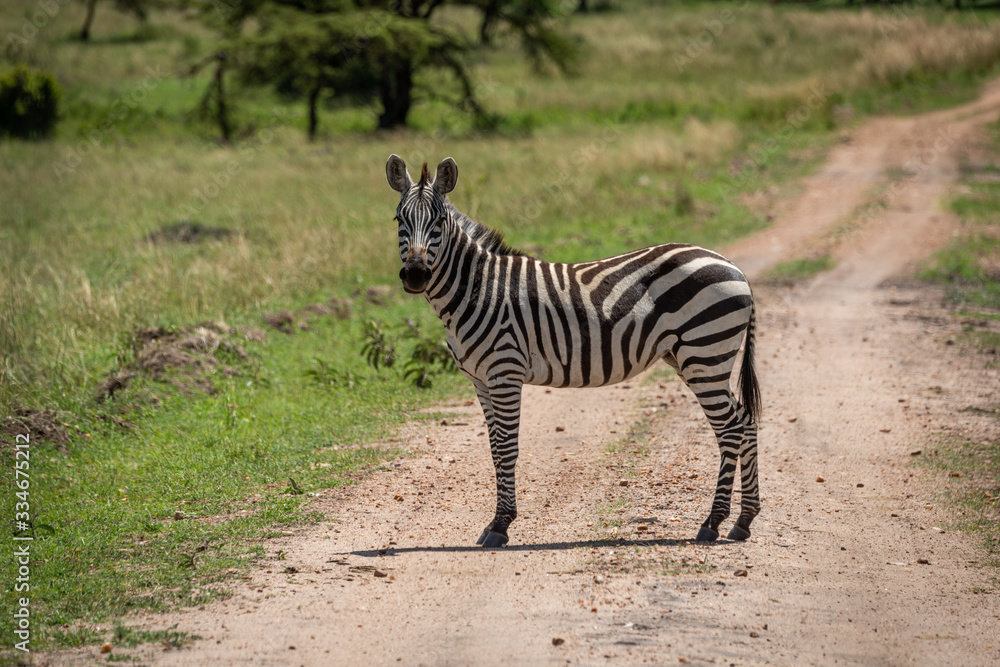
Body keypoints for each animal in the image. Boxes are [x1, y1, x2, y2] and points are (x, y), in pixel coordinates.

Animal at [386, 155, 761, 547]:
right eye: (399, 220)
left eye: (439, 222)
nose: (415, 274)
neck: (477, 288)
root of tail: (733, 266)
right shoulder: (480, 380)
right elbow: (494, 449)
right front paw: (494, 523)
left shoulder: (505, 371)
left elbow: (507, 447)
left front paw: (501, 525)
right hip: (698, 357)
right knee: (746, 420)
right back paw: (743, 521)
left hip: (704, 353)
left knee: (730, 429)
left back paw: (713, 522)